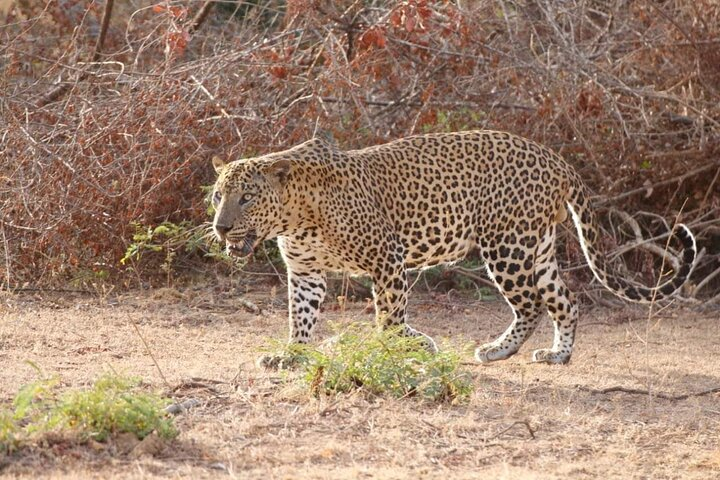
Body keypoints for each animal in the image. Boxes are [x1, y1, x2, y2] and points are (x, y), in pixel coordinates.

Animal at [210, 130, 696, 365]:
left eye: (247, 197)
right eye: (218, 196)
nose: (221, 226)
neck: (296, 216)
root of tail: (556, 159)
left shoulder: (388, 259)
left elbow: (390, 317)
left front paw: (402, 348)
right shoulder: (305, 273)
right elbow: (301, 318)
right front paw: (291, 355)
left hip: (507, 246)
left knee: (532, 305)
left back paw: (498, 350)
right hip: (536, 247)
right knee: (566, 299)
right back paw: (558, 354)